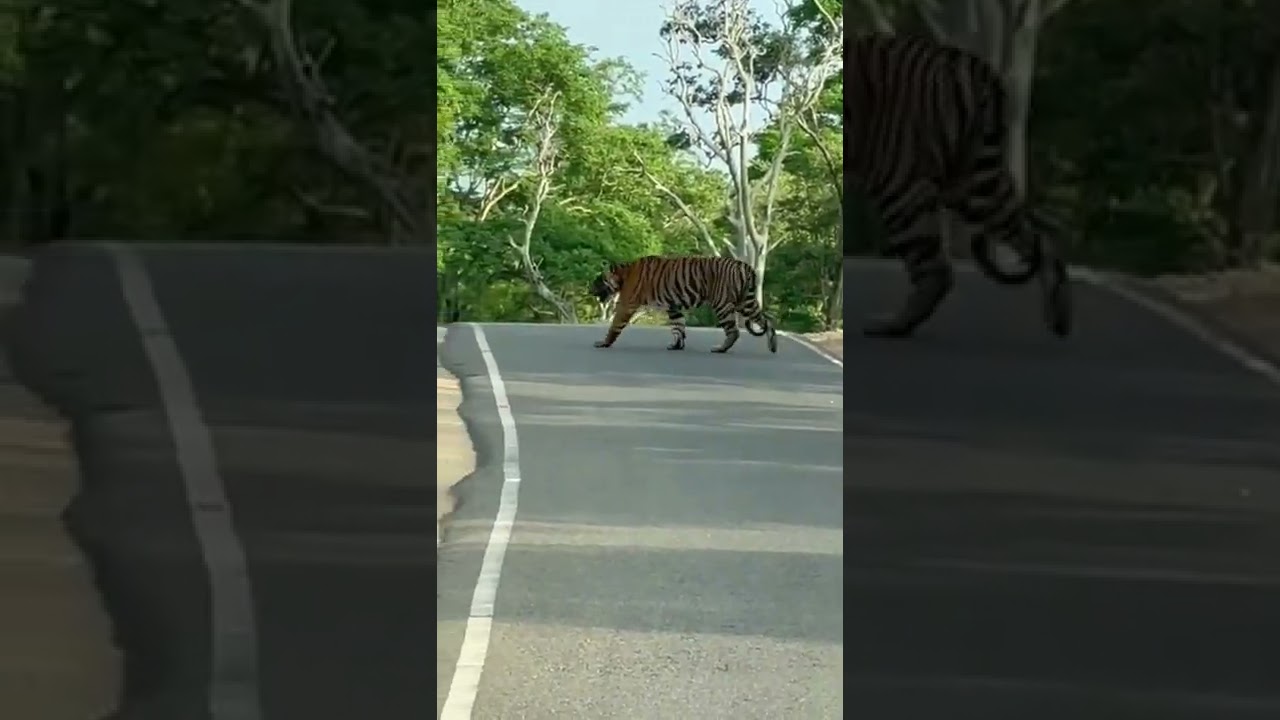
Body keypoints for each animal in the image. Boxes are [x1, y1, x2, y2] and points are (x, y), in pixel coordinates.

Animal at [589, 255, 778, 354]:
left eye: (599, 280)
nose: (590, 289)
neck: (624, 274)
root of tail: (745, 266)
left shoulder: (626, 304)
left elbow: (615, 325)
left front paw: (604, 343)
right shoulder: (673, 306)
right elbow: (678, 327)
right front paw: (676, 345)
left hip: (723, 304)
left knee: (733, 331)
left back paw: (720, 349)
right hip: (745, 302)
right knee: (766, 321)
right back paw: (773, 345)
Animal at [847, 33, 1073, 339]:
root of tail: (970, 62)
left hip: (899, 180)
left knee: (936, 271)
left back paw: (890, 326)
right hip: (971, 182)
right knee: (1036, 237)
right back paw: (1060, 317)